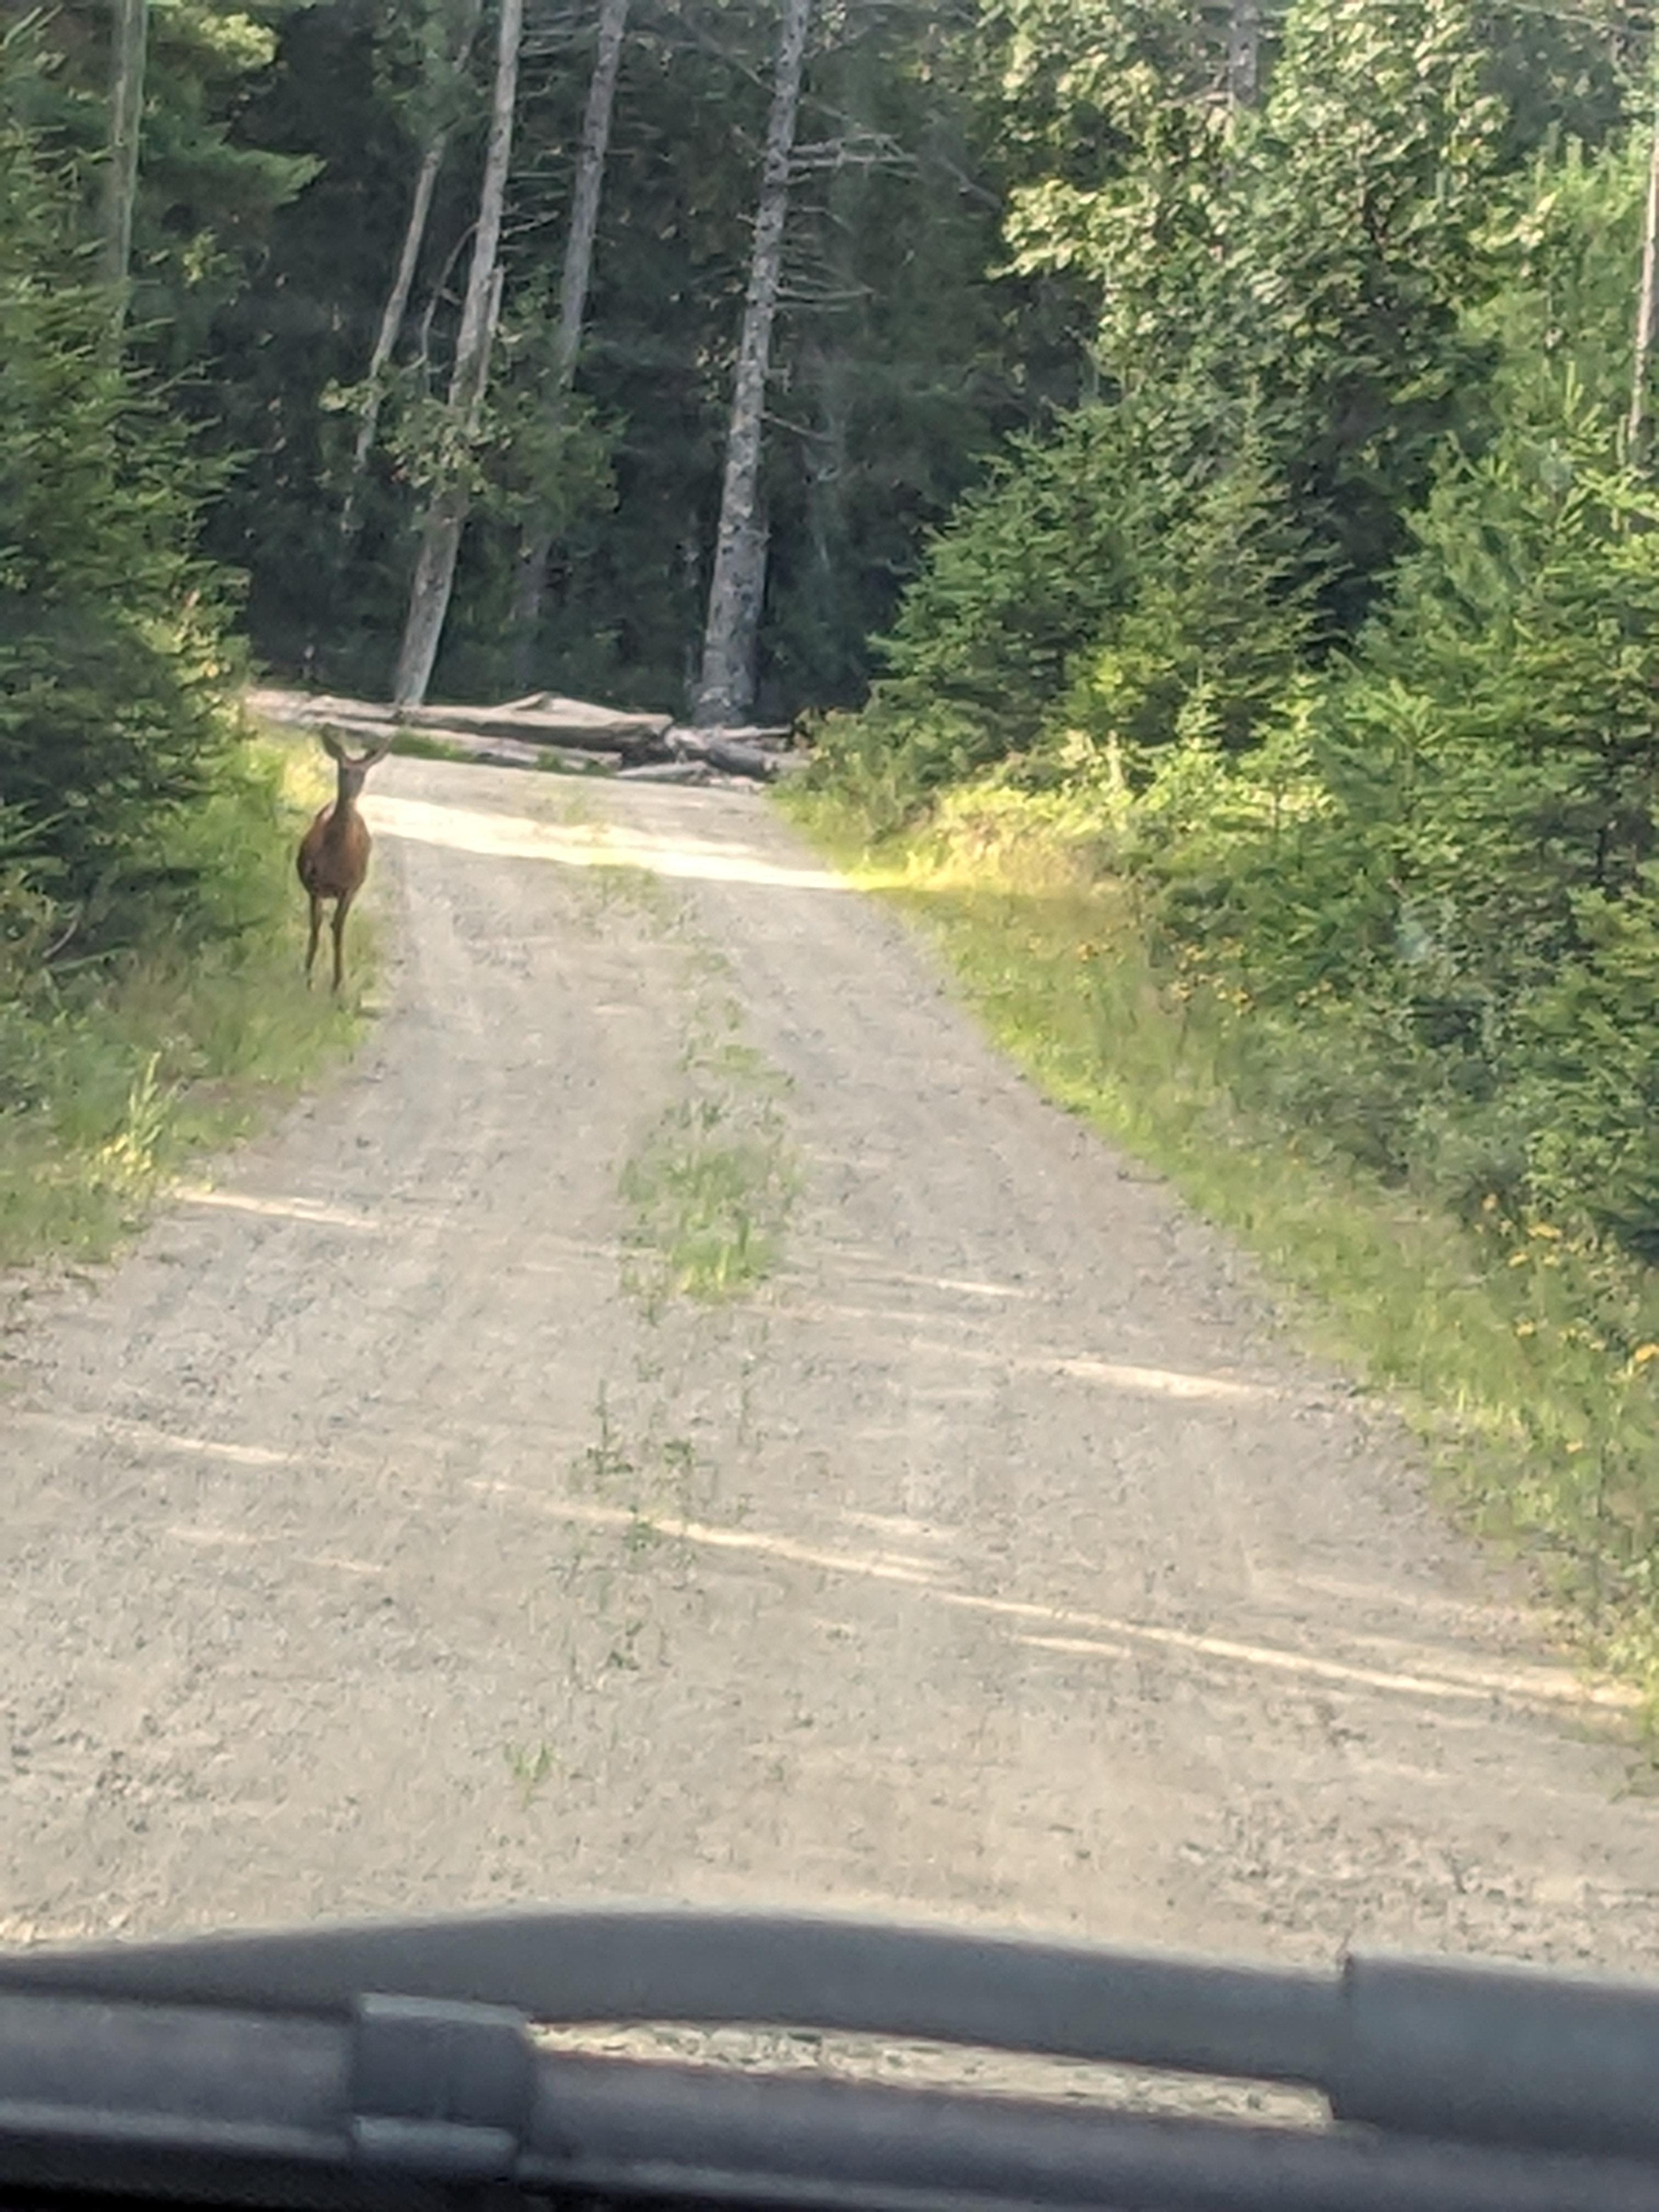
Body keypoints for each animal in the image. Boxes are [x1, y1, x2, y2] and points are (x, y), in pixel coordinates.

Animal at [296, 729, 391, 993]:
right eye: (343, 769)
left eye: (364, 772)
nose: (351, 796)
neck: (336, 860)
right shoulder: (314, 885)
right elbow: (316, 926)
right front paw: (307, 975)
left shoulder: (349, 887)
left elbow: (338, 929)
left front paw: (337, 984)